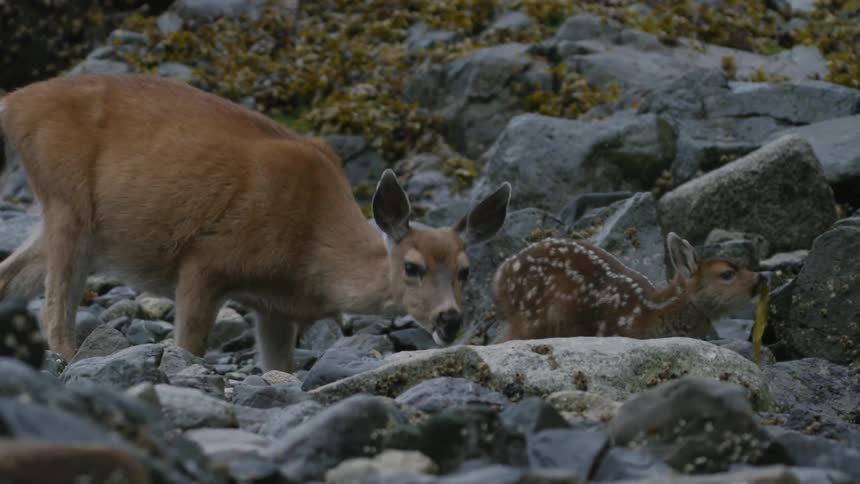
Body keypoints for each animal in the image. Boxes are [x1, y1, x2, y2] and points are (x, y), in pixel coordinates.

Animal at [0, 73, 512, 372]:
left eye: (467, 271)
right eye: (411, 267)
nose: (450, 320)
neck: (310, 250)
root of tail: (14, 102)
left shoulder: (276, 309)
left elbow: (279, 370)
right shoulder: (206, 261)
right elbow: (189, 347)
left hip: (75, 224)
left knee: (11, 275)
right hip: (68, 202)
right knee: (53, 310)